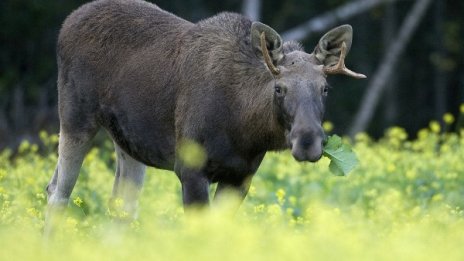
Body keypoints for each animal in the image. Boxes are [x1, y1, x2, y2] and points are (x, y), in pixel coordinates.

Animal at [46, 0, 366, 224]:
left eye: (325, 88)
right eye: (279, 88)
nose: (308, 141)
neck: (245, 130)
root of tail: (67, 21)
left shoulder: (240, 177)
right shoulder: (190, 170)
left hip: (128, 143)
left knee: (121, 206)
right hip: (75, 118)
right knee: (57, 192)